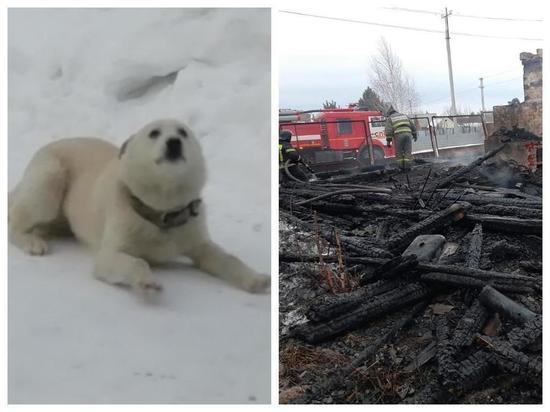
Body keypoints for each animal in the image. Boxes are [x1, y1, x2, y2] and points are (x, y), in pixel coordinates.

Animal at [8, 117, 272, 294]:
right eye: (154, 133)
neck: (162, 211)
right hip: (49, 179)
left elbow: (228, 258)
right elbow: (137, 261)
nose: (174, 142)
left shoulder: (197, 241)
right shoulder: (109, 253)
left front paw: (255, 279)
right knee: (14, 220)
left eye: (183, 132)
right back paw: (31, 242)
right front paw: (147, 281)